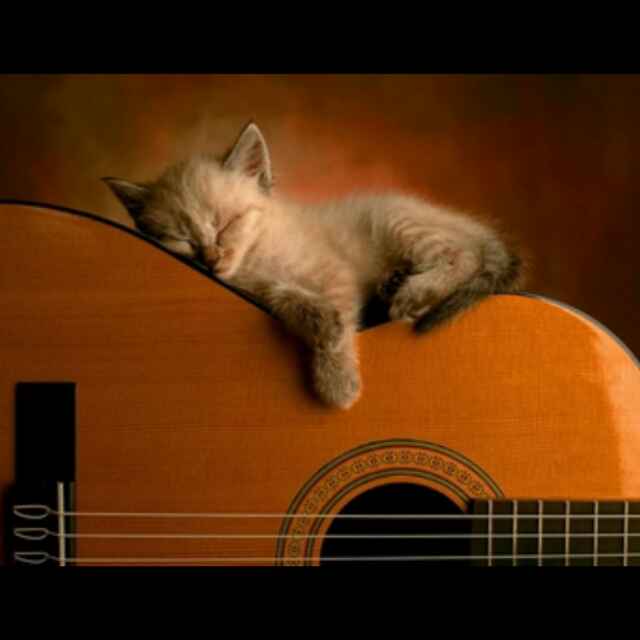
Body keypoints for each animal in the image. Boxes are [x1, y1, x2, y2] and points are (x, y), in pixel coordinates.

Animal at [104, 121, 524, 410]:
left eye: (226, 224)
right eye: (183, 242)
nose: (211, 260)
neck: (255, 257)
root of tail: (471, 225)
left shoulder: (334, 273)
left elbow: (342, 320)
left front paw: (337, 384)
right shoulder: (252, 289)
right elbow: (288, 296)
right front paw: (322, 327)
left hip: (396, 221)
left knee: (464, 255)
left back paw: (413, 293)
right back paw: (394, 284)